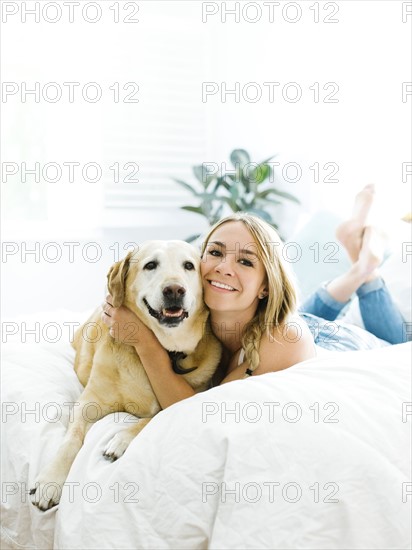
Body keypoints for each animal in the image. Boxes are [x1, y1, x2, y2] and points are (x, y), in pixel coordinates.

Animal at [29, 242, 222, 512]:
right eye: (151, 265)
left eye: (189, 266)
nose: (174, 290)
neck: (162, 351)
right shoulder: (87, 403)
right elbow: (71, 440)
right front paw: (50, 481)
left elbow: (153, 417)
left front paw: (121, 439)